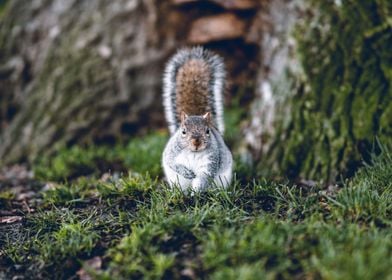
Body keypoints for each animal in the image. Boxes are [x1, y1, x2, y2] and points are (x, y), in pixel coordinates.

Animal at [160, 47, 231, 191]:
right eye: (183, 131)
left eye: (207, 131)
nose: (196, 142)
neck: (193, 153)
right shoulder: (172, 153)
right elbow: (171, 162)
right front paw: (186, 172)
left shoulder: (210, 163)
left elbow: (203, 179)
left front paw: (196, 193)